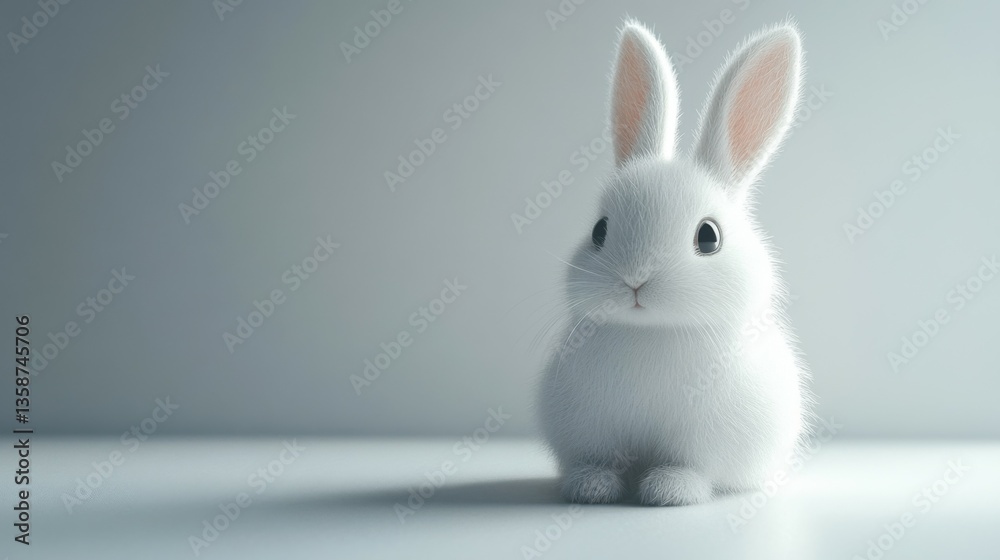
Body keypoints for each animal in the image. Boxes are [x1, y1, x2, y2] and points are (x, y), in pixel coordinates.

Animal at [537, 19, 813, 506]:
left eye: (709, 237)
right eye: (600, 231)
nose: (635, 280)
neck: (654, 331)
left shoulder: (702, 445)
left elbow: (688, 466)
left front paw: (670, 491)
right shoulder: (592, 434)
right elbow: (599, 461)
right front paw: (592, 486)